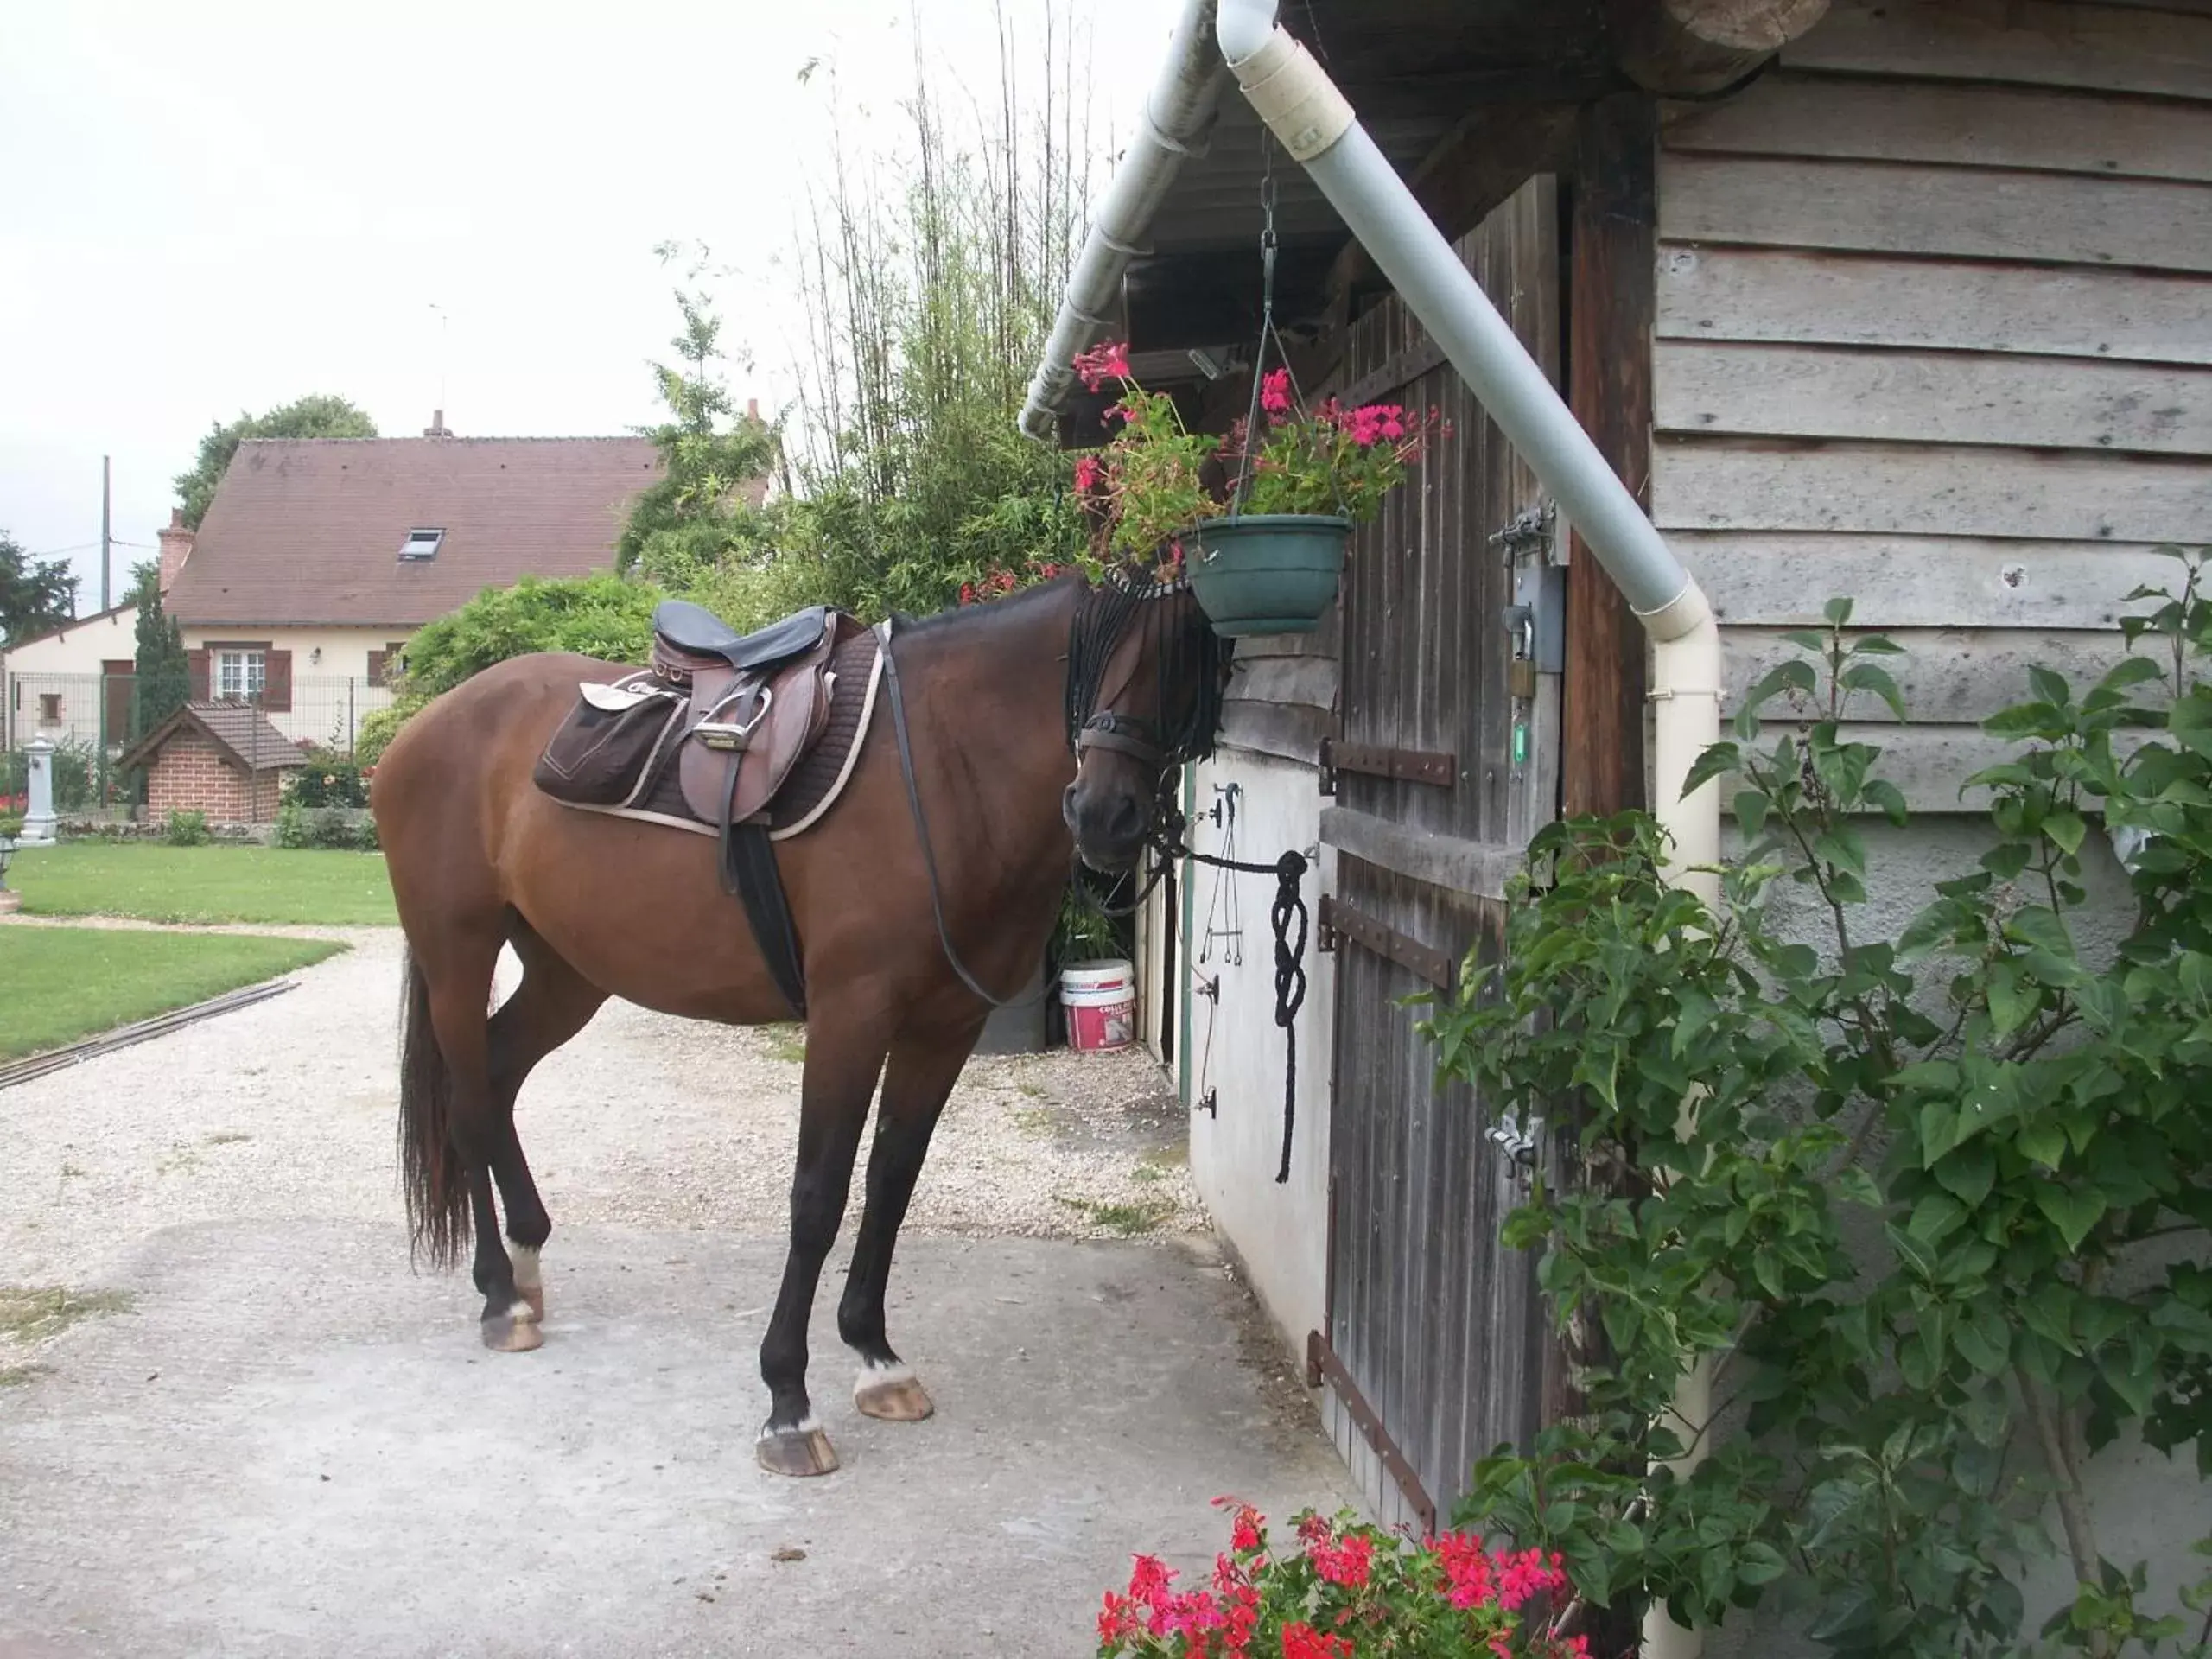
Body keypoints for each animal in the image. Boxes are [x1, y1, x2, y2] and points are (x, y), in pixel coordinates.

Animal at [369, 575, 1221, 1478]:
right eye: (1096, 661)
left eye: (1186, 664)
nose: (1104, 815)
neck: (942, 768)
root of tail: (427, 725)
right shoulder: (851, 1016)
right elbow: (817, 1198)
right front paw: (787, 1402)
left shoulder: (942, 1030)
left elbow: (891, 1183)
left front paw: (876, 1357)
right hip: (457, 955)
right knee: (467, 1104)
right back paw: (501, 1297)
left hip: (569, 974)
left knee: (496, 1079)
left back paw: (527, 1264)